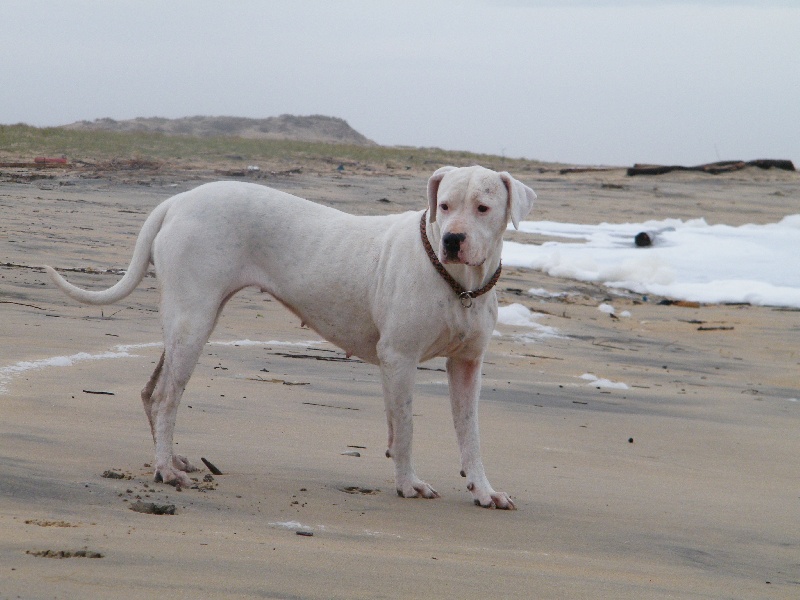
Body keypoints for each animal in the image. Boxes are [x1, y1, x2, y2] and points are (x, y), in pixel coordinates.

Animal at [47, 166, 536, 508]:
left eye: (483, 208)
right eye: (446, 206)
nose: (453, 239)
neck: (458, 284)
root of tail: (177, 201)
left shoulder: (467, 367)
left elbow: (470, 435)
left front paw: (484, 491)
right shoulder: (399, 359)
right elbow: (407, 430)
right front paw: (408, 484)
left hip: (185, 321)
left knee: (152, 391)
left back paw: (170, 459)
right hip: (193, 319)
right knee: (168, 395)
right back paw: (167, 470)